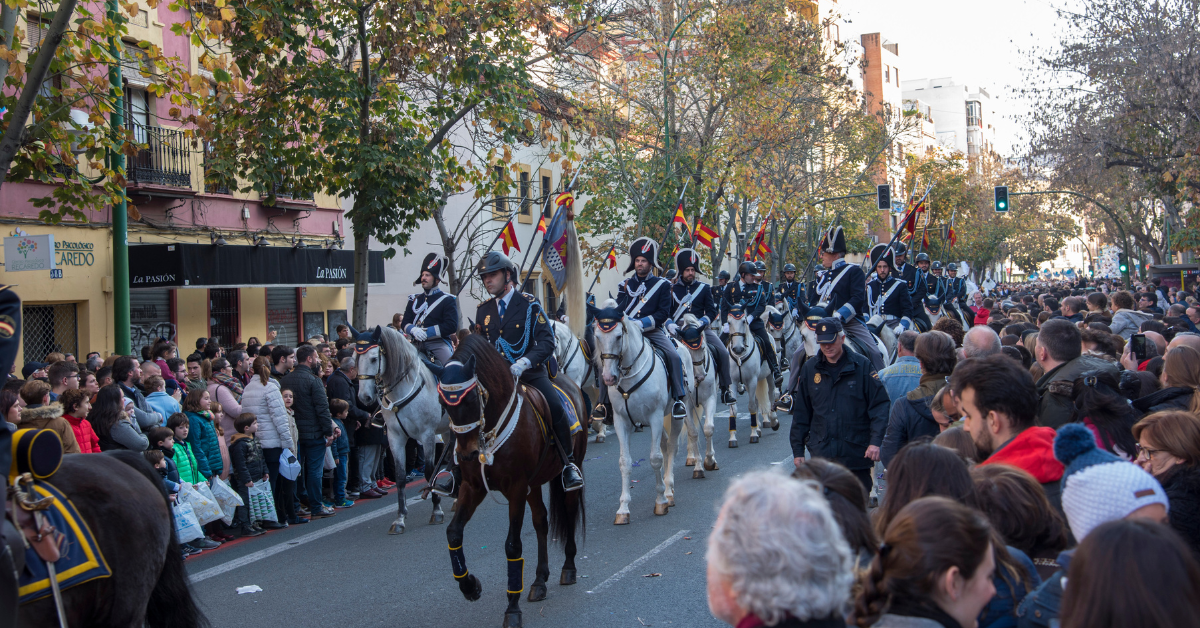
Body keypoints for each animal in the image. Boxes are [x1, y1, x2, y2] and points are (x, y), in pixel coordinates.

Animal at [357, 324, 451, 535]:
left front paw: (437, 511)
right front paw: (400, 518)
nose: (364, 397)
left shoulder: (427, 435)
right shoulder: (395, 438)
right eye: (355, 358)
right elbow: (400, 477)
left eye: (374, 358)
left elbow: (430, 471)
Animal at [441, 336, 590, 628]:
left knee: (568, 512)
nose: (466, 454)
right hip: (535, 483)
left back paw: (568, 568)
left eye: (471, 398)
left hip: (569, 466)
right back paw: (539, 581)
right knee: (542, 521)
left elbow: (512, 545)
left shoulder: (517, 489)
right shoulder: (473, 487)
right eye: (445, 404)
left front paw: (512, 609)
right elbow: (454, 532)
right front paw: (470, 586)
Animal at [592, 302, 691, 523]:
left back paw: (669, 491)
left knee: (671, 447)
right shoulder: (621, 421)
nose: (608, 378)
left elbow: (655, 458)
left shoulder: (654, 418)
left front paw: (661, 501)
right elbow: (625, 462)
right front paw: (623, 509)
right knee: (664, 445)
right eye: (597, 336)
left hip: (676, 415)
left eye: (618, 336)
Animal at [720, 303, 777, 446]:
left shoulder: (752, 380)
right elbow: (734, 409)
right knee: (757, 401)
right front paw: (733, 438)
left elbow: (751, 407)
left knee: (771, 395)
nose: (737, 349)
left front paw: (753, 434)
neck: (740, 357)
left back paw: (773, 421)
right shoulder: (733, 383)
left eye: (744, 321)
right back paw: (758, 427)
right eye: (729, 322)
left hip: (769, 376)